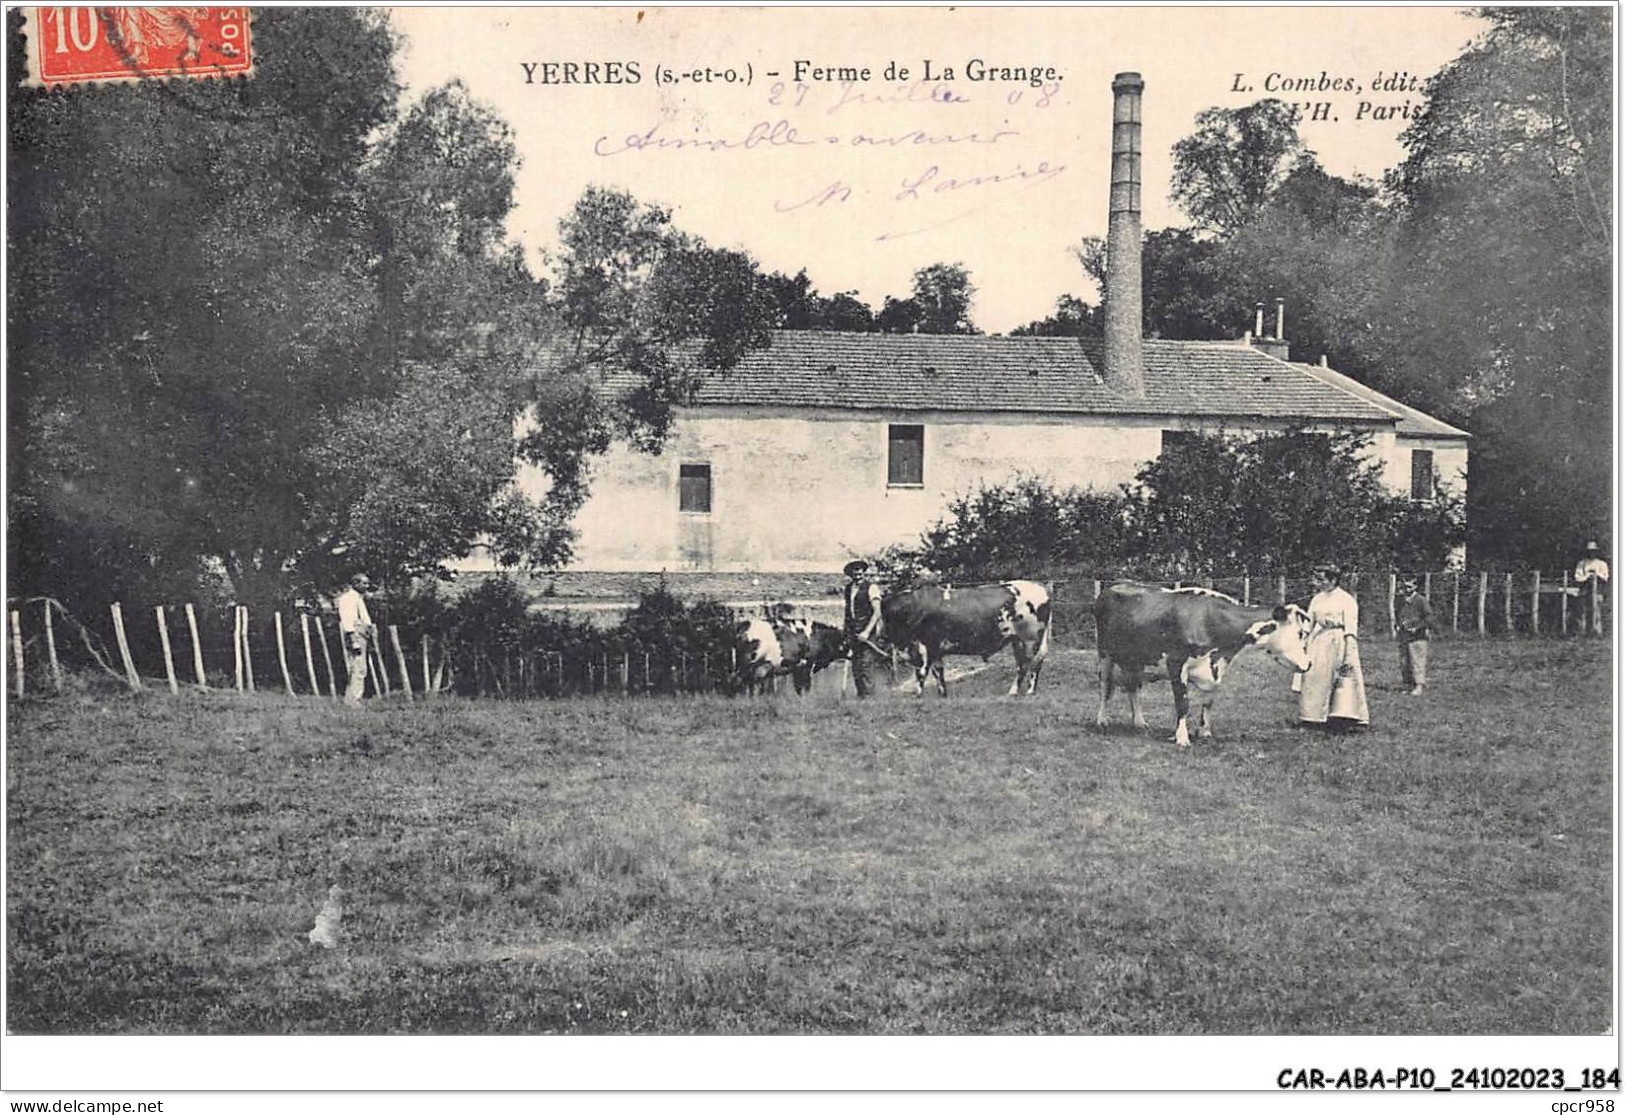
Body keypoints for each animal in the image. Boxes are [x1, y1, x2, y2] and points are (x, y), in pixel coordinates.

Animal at [864, 585, 1053, 698]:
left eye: (882, 613)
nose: (879, 637)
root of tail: (1042, 589)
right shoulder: (935, 648)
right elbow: (938, 672)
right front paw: (942, 694)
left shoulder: (924, 646)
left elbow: (922, 672)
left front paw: (918, 695)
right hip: (1016, 640)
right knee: (1022, 665)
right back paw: (1012, 692)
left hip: (1030, 639)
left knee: (1034, 663)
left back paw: (1030, 691)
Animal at [1085, 585, 1313, 750]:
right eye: (1301, 633)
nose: (1309, 663)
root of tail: (1110, 588)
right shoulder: (1176, 663)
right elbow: (1183, 704)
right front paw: (1182, 738)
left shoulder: (1216, 668)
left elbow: (1208, 703)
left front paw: (1205, 732)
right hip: (1104, 653)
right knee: (1105, 687)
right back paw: (1102, 720)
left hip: (1135, 660)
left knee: (1133, 688)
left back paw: (1140, 723)